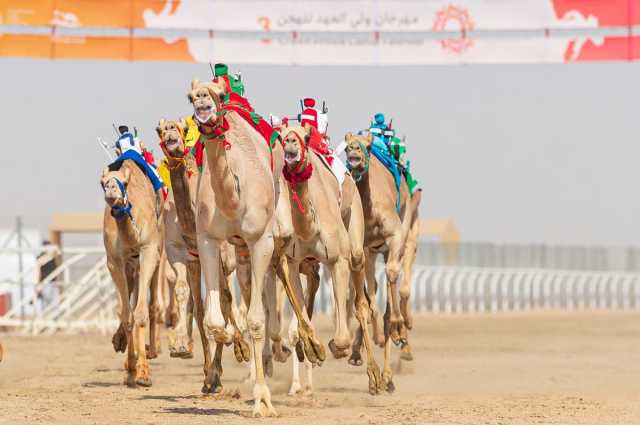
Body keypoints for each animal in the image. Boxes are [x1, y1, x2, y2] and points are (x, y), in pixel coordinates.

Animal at [101, 157, 162, 386]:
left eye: (124, 184)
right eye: (102, 183)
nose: (111, 191)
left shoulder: (149, 250)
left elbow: (141, 313)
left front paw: (143, 374)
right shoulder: (114, 261)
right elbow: (127, 315)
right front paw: (131, 371)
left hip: (157, 256)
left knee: (151, 304)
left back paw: (151, 351)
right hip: (130, 268)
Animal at [188, 78, 322, 416]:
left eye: (219, 94)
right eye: (189, 95)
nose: (202, 99)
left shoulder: (260, 239)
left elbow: (257, 320)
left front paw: (263, 400)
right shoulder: (207, 238)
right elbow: (215, 320)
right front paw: (233, 341)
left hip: (276, 231)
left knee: (288, 273)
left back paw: (309, 345)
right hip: (240, 250)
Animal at [282, 123, 384, 394]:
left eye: (306, 137)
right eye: (280, 134)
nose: (290, 143)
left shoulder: (338, 260)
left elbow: (341, 337)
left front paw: (333, 348)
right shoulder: (292, 260)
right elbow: (300, 311)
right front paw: (313, 348)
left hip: (355, 236)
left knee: (361, 303)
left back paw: (376, 377)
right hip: (308, 262)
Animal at [342, 131, 422, 390]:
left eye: (367, 146)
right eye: (346, 146)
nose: (354, 150)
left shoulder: (396, 235)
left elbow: (392, 275)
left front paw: (397, 326)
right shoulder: (364, 247)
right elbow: (369, 298)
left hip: (408, 233)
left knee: (399, 283)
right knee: (373, 292)